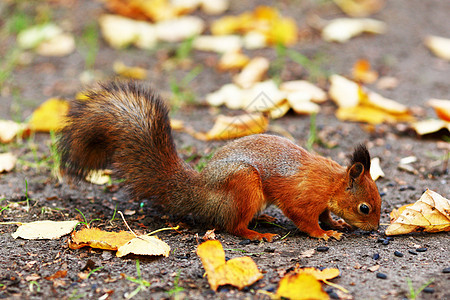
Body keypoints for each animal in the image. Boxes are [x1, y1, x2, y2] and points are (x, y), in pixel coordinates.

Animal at [58, 81, 382, 241]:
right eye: (365, 208)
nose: (375, 230)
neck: (331, 183)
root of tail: (201, 192)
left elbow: (324, 214)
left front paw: (335, 223)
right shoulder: (303, 197)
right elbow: (304, 219)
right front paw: (324, 233)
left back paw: (262, 220)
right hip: (244, 184)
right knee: (232, 226)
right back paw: (257, 234)